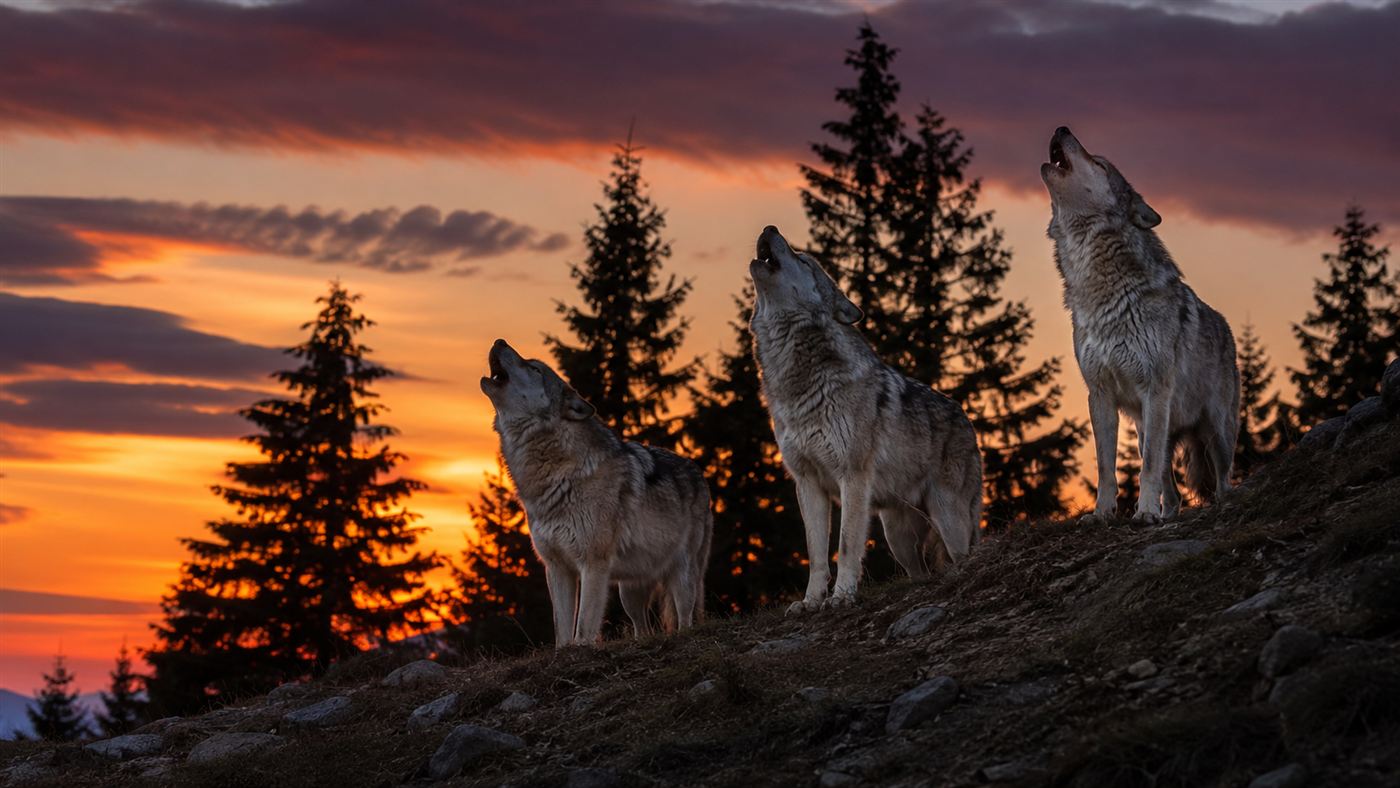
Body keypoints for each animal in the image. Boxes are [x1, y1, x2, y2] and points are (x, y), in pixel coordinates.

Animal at [480, 340, 712, 646]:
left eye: (534, 368)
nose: (500, 341)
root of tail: (698, 472)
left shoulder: (593, 564)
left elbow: (584, 625)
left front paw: (581, 649)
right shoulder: (557, 566)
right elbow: (562, 628)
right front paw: (563, 652)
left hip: (682, 575)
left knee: (686, 617)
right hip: (630, 592)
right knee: (644, 627)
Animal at [748, 226, 983, 612]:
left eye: (803, 260)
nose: (770, 228)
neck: (798, 381)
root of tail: (967, 420)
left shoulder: (852, 477)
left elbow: (846, 546)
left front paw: (842, 596)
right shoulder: (807, 483)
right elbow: (815, 553)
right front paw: (810, 602)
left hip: (949, 517)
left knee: (961, 555)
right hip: (897, 536)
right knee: (921, 571)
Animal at [1042, 126, 1239, 522]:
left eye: (1099, 163)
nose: (1062, 128)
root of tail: (1226, 327)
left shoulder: (1155, 390)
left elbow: (1146, 467)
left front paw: (1144, 512)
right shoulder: (1100, 394)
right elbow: (1106, 467)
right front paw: (1103, 514)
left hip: (1215, 430)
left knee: (1222, 475)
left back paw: (1212, 504)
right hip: (1147, 426)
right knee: (1171, 483)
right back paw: (1168, 513)